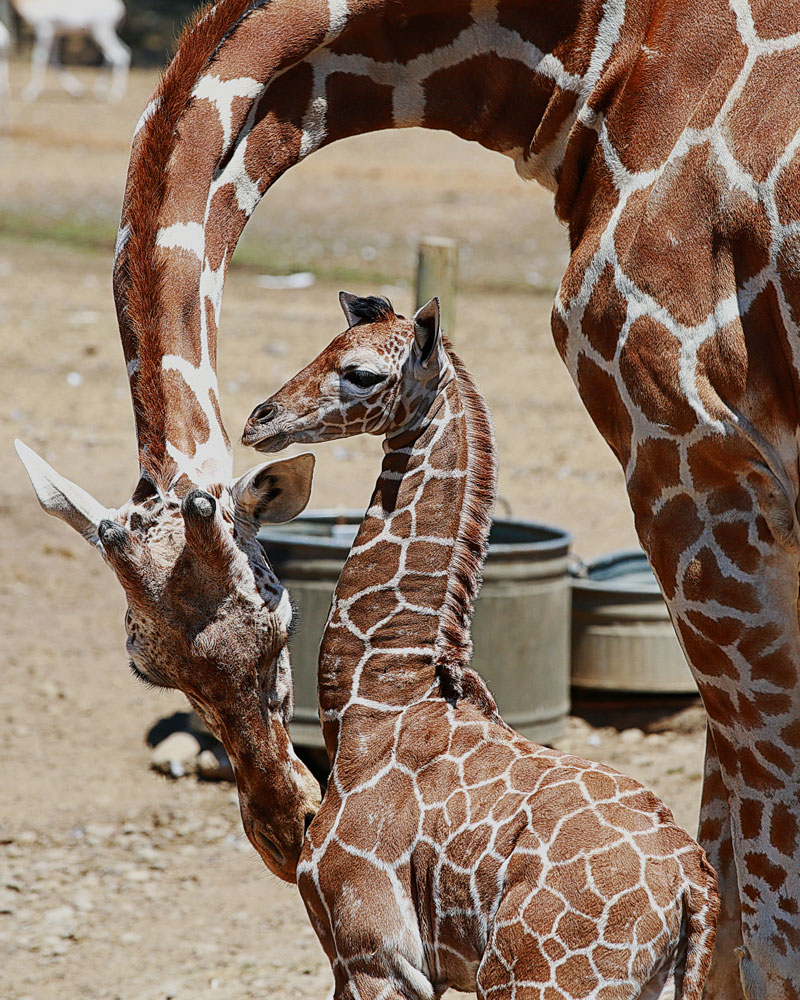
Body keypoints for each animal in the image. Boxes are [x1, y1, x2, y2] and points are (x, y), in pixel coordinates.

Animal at [242, 293, 720, 1000]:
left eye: (360, 373)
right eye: (325, 345)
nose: (259, 420)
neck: (374, 701)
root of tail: (693, 888)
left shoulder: (374, 952)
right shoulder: (418, 966)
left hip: (534, 978)